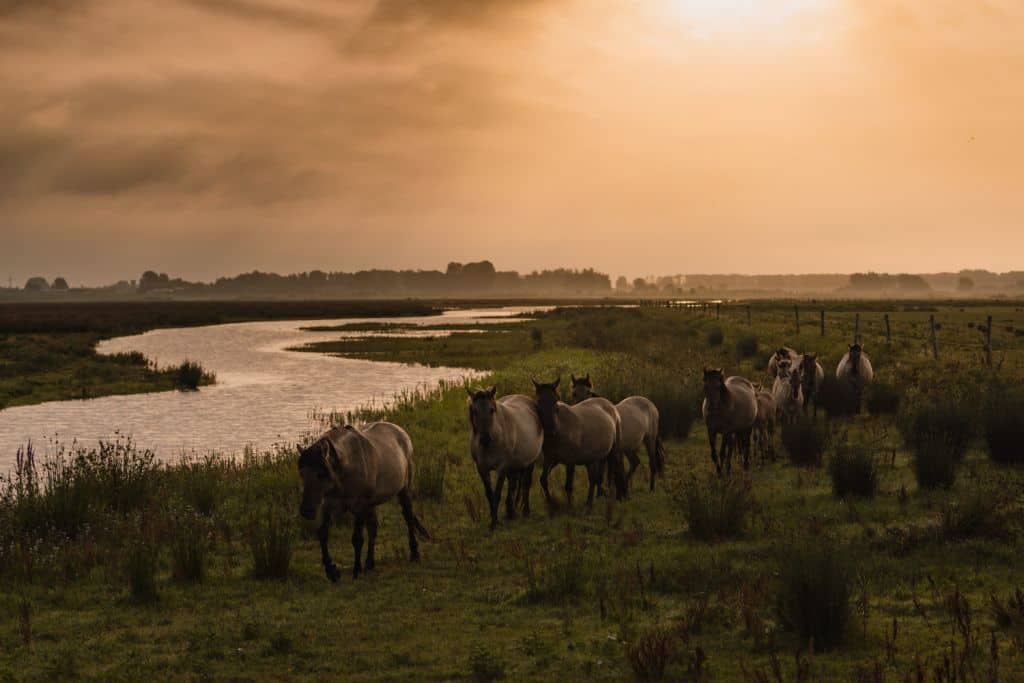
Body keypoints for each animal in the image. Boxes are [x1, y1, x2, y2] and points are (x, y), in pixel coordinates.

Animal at [298, 423, 430, 582]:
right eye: (302, 473)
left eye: (321, 474)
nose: (306, 510)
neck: (347, 464)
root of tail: (401, 431)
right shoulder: (330, 506)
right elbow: (323, 534)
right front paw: (332, 571)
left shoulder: (359, 507)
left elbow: (357, 539)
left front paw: (356, 570)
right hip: (371, 505)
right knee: (373, 527)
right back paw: (369, 563)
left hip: (404, 490)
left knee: (408, 517)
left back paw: (414, 554)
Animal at [467, 386, 544, 530]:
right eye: (474, 411)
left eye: (491, 410)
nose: (485, 439)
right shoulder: (482, 469)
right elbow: (489, 494)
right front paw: (495, 519)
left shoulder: (501, 468)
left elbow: (497, 494)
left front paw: (494, 523)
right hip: (513, 466)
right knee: (513, 485)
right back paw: (511, 512)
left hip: (530, 462)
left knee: (525, 484)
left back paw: (525, 511)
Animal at [533, 377, 627, 507]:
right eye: (539, 401)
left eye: (555, 400)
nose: (550, 431)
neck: (560, 428)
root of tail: (611, 406)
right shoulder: (550, 459)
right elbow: (543, 480)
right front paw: (551, 504)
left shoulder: (570, 462)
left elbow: (568, 486)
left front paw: (569, 507)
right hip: (591, 458)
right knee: (593, 478)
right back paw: (589, 503)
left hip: (613, 451)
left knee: (615, 471)